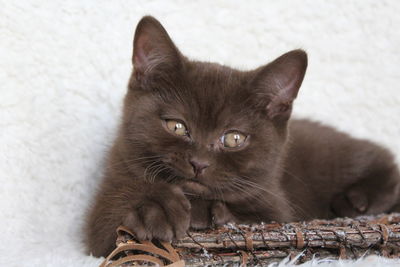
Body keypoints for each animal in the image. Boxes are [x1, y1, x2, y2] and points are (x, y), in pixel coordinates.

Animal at [85, 16, 400, 258]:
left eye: (234, 139)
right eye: (176, 126)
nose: (199, 163)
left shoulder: (277, 208)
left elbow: (257, 218)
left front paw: (203, 211)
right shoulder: (112, 187)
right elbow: (108, 229)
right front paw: (153, 207)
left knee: (386, 162)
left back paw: (358, 200)